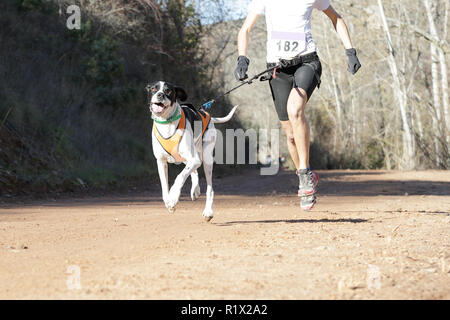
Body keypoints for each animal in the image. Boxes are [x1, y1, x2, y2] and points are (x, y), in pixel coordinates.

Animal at [148, 81, 239, 221]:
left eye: (168, 91)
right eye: (153, 88)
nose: (160, 95)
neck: (166, 123)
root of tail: (209, 116)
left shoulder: (194, 159)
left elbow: (179, 177)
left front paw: (173, 197)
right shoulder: (161, 162)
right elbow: (164, 186)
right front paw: (169, 201)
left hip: (206, 159)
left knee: (209, 188)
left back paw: (208, 212)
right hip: (189, 158)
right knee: (194, 171)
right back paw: (195, 191)